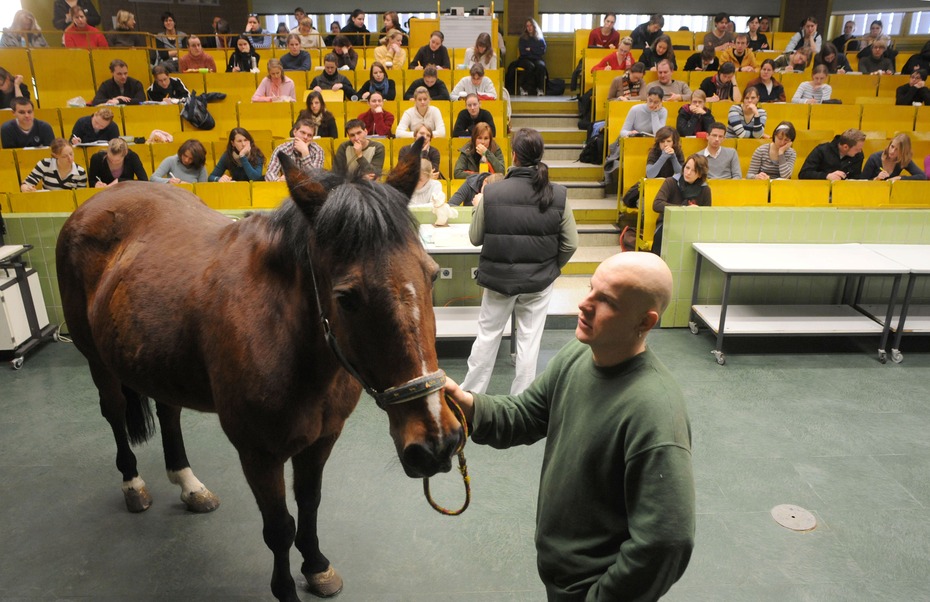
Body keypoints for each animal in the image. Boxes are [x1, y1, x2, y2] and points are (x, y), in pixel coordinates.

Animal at [54, 142, 460, 600]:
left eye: (431, 275)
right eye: (347, 297)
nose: (437, 442)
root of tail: (98, 200)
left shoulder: (321, 440)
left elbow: (310, 503)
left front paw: (317, 566)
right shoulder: (258, 454)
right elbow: (279, 527)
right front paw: (286, 588)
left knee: (169, 413)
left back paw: (190, 485)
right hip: (97, 361)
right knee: (114, 414)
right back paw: (133, 484)